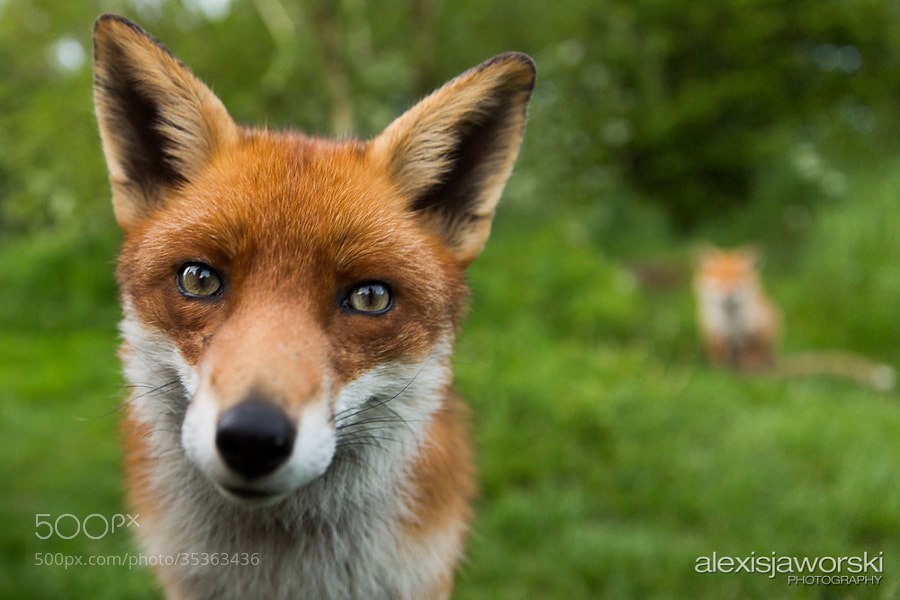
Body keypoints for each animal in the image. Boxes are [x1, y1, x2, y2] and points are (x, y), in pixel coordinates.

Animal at [696, 247, 892, 392]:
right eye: (719, 279)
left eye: (737, 278)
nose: (727, 295)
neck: (731, 318)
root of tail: (776, 362)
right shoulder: (715, 335)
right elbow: (721, 361)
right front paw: (723, 379)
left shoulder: (759, 331)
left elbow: (753, 357)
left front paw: (751, 376)